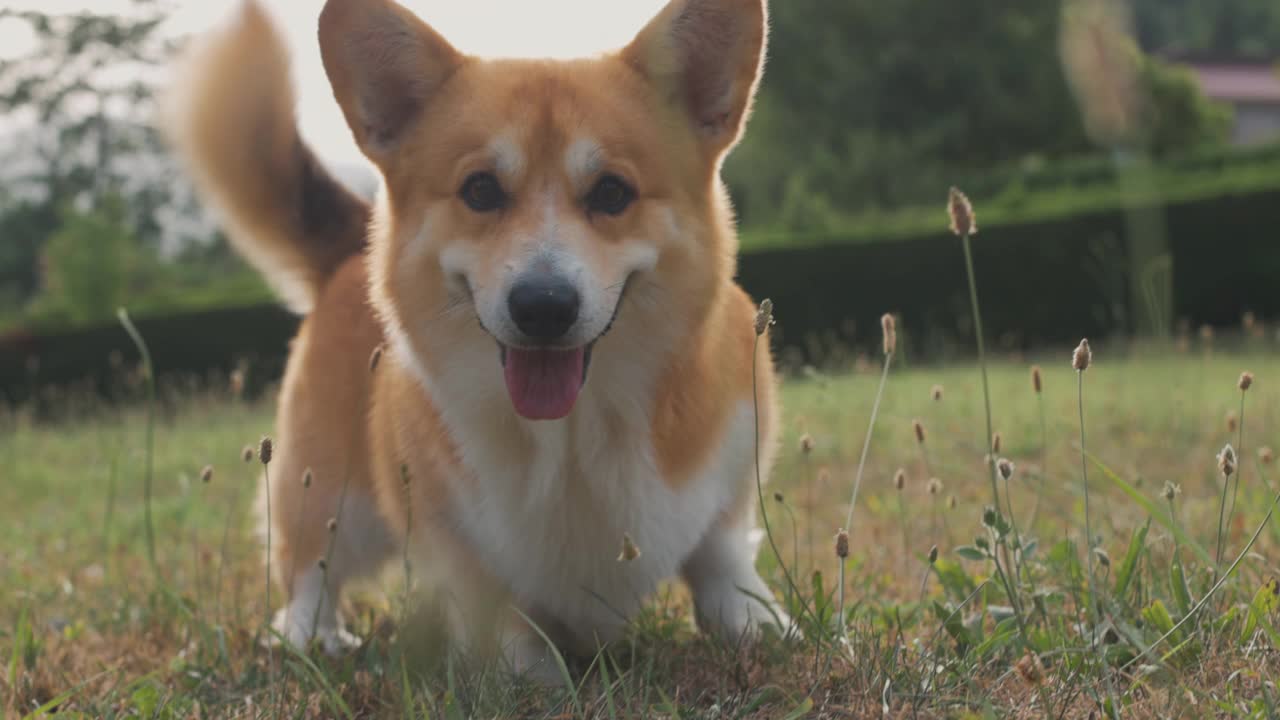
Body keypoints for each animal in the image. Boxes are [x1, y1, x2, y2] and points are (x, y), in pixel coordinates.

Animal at [165, 0, 783, 676]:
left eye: (613, 192)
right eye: (481, 190)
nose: (543, 307)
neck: (574, 435)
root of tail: (352, 249)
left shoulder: (728, 483)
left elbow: (722, 560)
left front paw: (760, 625)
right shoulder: (457, 541)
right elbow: (507, 623)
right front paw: (536, 677)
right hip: (326, 488)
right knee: (309, 571)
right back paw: (310, 637)